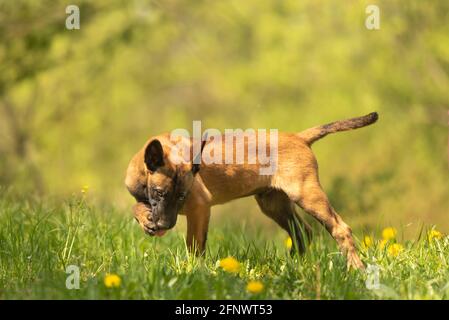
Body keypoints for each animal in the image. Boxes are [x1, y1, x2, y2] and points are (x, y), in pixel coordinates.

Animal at [125, 111, 378, 268]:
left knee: (340, 229)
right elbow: (135, 207)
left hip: (307, 195)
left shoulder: (199, 207)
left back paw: (356, 269)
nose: (164, 226)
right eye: (159, 193)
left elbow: (195, 246)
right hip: (274, 204)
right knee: (302, 232)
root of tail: (300, 137)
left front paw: (193, 270)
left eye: (182, 196)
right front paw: (144, 218)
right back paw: (293, 266)